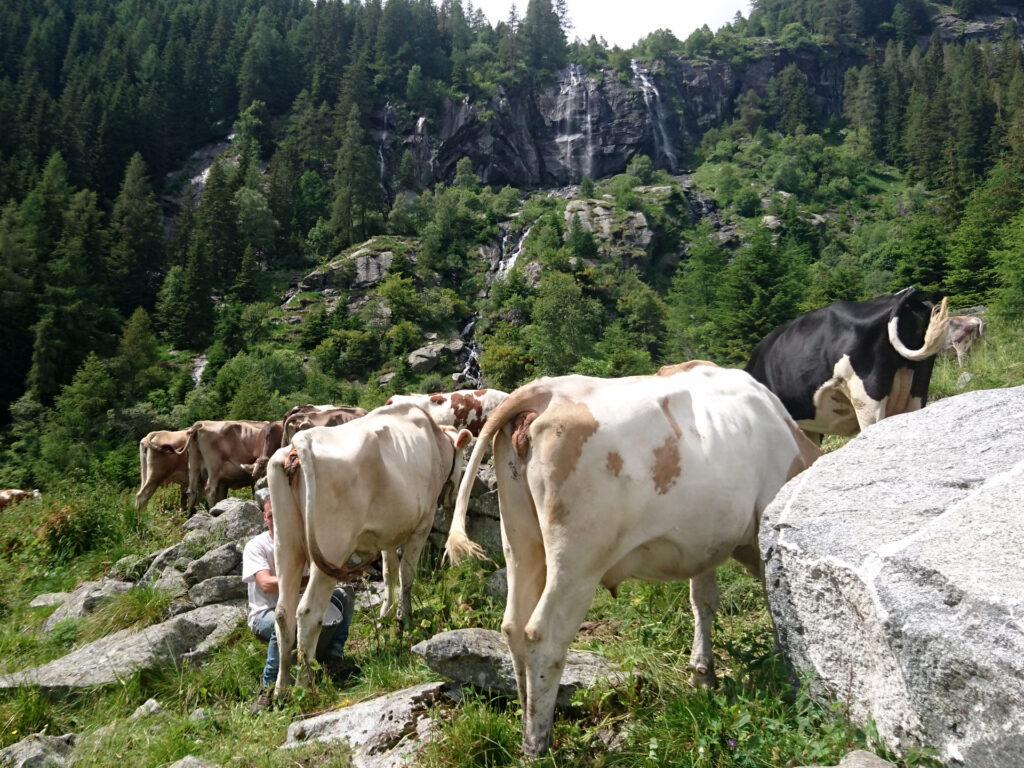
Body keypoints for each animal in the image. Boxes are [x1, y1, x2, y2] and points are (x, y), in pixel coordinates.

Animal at [264, 403, 471, 696]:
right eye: (463, 457)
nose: (452, 499)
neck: (435, 440)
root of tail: (299, 442)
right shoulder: (423, 522)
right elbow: (406, 575)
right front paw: (404, 621)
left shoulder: (387, 533)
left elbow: (388, 572)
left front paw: (386, 615)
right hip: (332, 547)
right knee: (308, 612)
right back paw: (306, 686)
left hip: (287, 544)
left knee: (282, 613)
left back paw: (281, 689)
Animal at [444, 364, 819, 757]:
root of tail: (545, 389)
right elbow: (773, 605)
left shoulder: (705, 546)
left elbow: (703, 601)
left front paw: (703, 674)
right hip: (577, 561)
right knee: (543, 637)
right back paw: (537, 741)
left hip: (520, 540)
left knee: (514, 627)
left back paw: (525, 717)